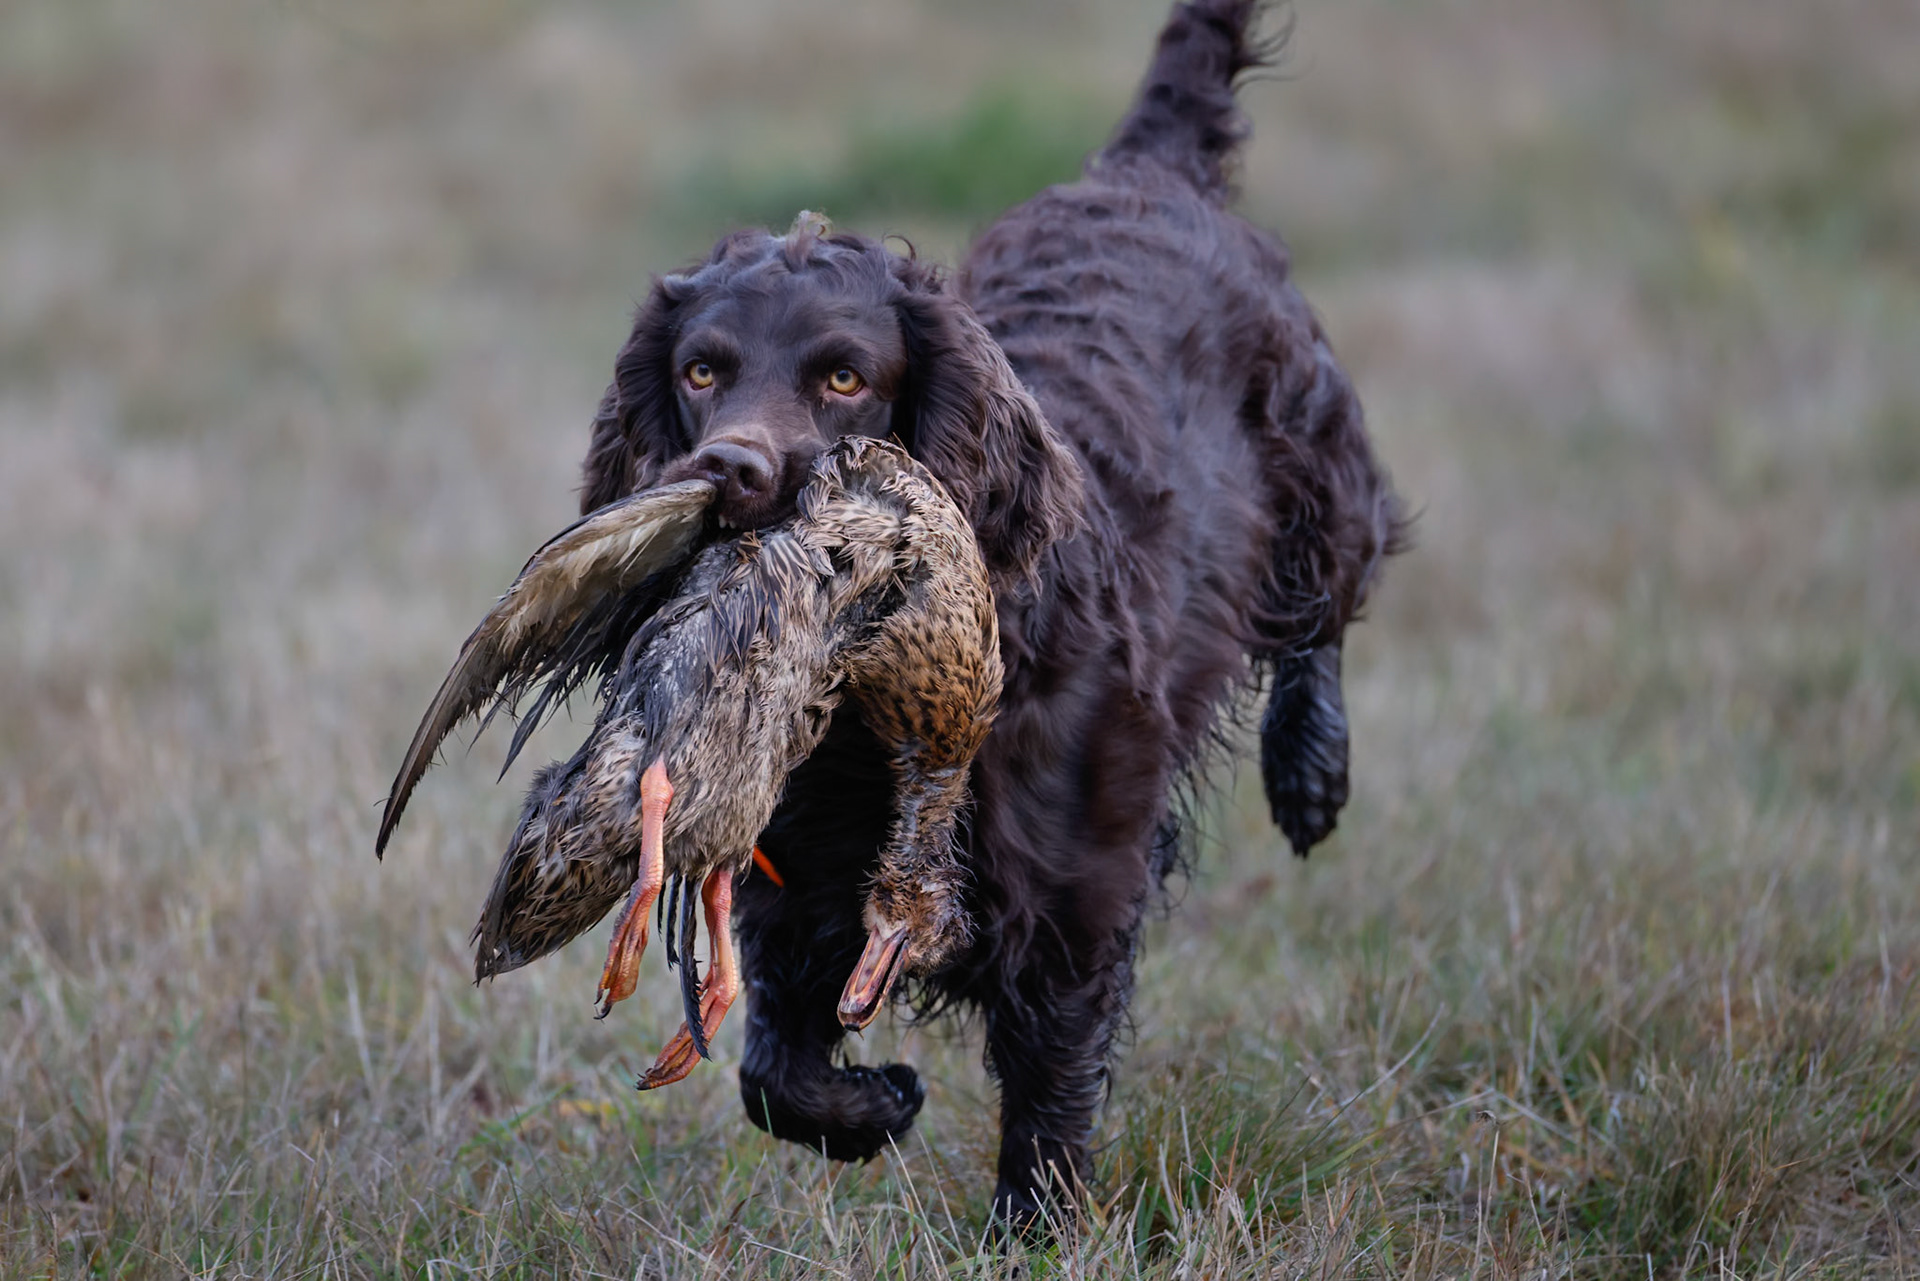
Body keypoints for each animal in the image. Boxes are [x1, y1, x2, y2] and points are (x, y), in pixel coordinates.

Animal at [572, 0, 1402, 1226]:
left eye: (846, 380)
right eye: (702, 371)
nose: (731, 471)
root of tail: (1141, 171)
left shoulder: (1071, 888)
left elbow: (1049, 1080)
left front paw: (1033, 1232)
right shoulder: (799, 885)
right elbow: (777, 1071)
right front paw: (876, 1107)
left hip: (1315, 471)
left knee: (1326, 605)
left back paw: (1310, 770)